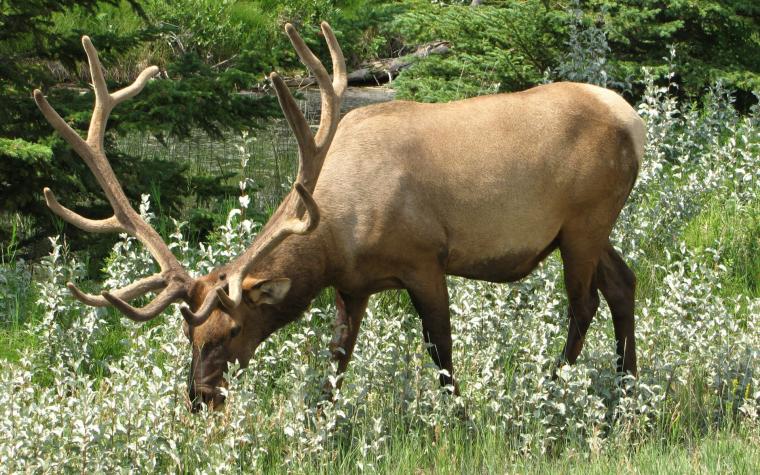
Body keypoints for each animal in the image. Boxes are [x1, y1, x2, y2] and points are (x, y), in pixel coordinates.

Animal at [34, 22, 644, 411]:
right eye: (189, 332)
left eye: (233, 329)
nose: (200, 397)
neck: (337, 236)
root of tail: (633, 121)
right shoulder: (352, 285)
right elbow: (336, 361)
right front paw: (320, 425)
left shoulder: (425, 259)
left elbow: (441, 351)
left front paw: (462, 419)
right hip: (587, 228)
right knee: (623, 281)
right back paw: (629, 386)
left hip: (585, 219)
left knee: (584, 302)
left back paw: (555, 386)